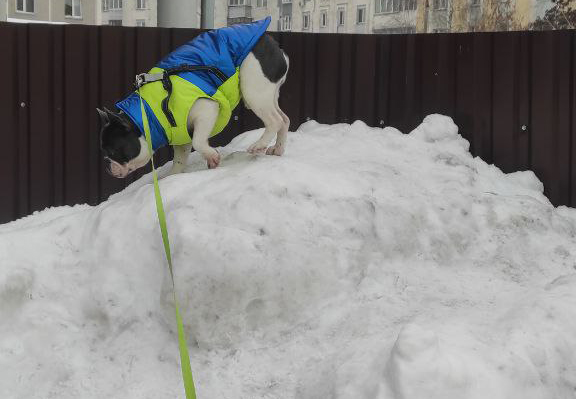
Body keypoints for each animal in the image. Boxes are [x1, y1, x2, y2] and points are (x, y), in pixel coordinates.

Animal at [98, 32, 292, 179]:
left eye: (113, 152)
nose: (107, 167)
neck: (148, 113)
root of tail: (275, 46)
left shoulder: (207, 109)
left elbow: (199, 141)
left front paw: (213, 157)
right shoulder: (180, 131)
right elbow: (180, 159)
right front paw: (173, 177)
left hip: (254, 91)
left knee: (274, 120)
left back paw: (259, 144)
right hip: (268, 95)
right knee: (284, 119)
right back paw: (278, 149)